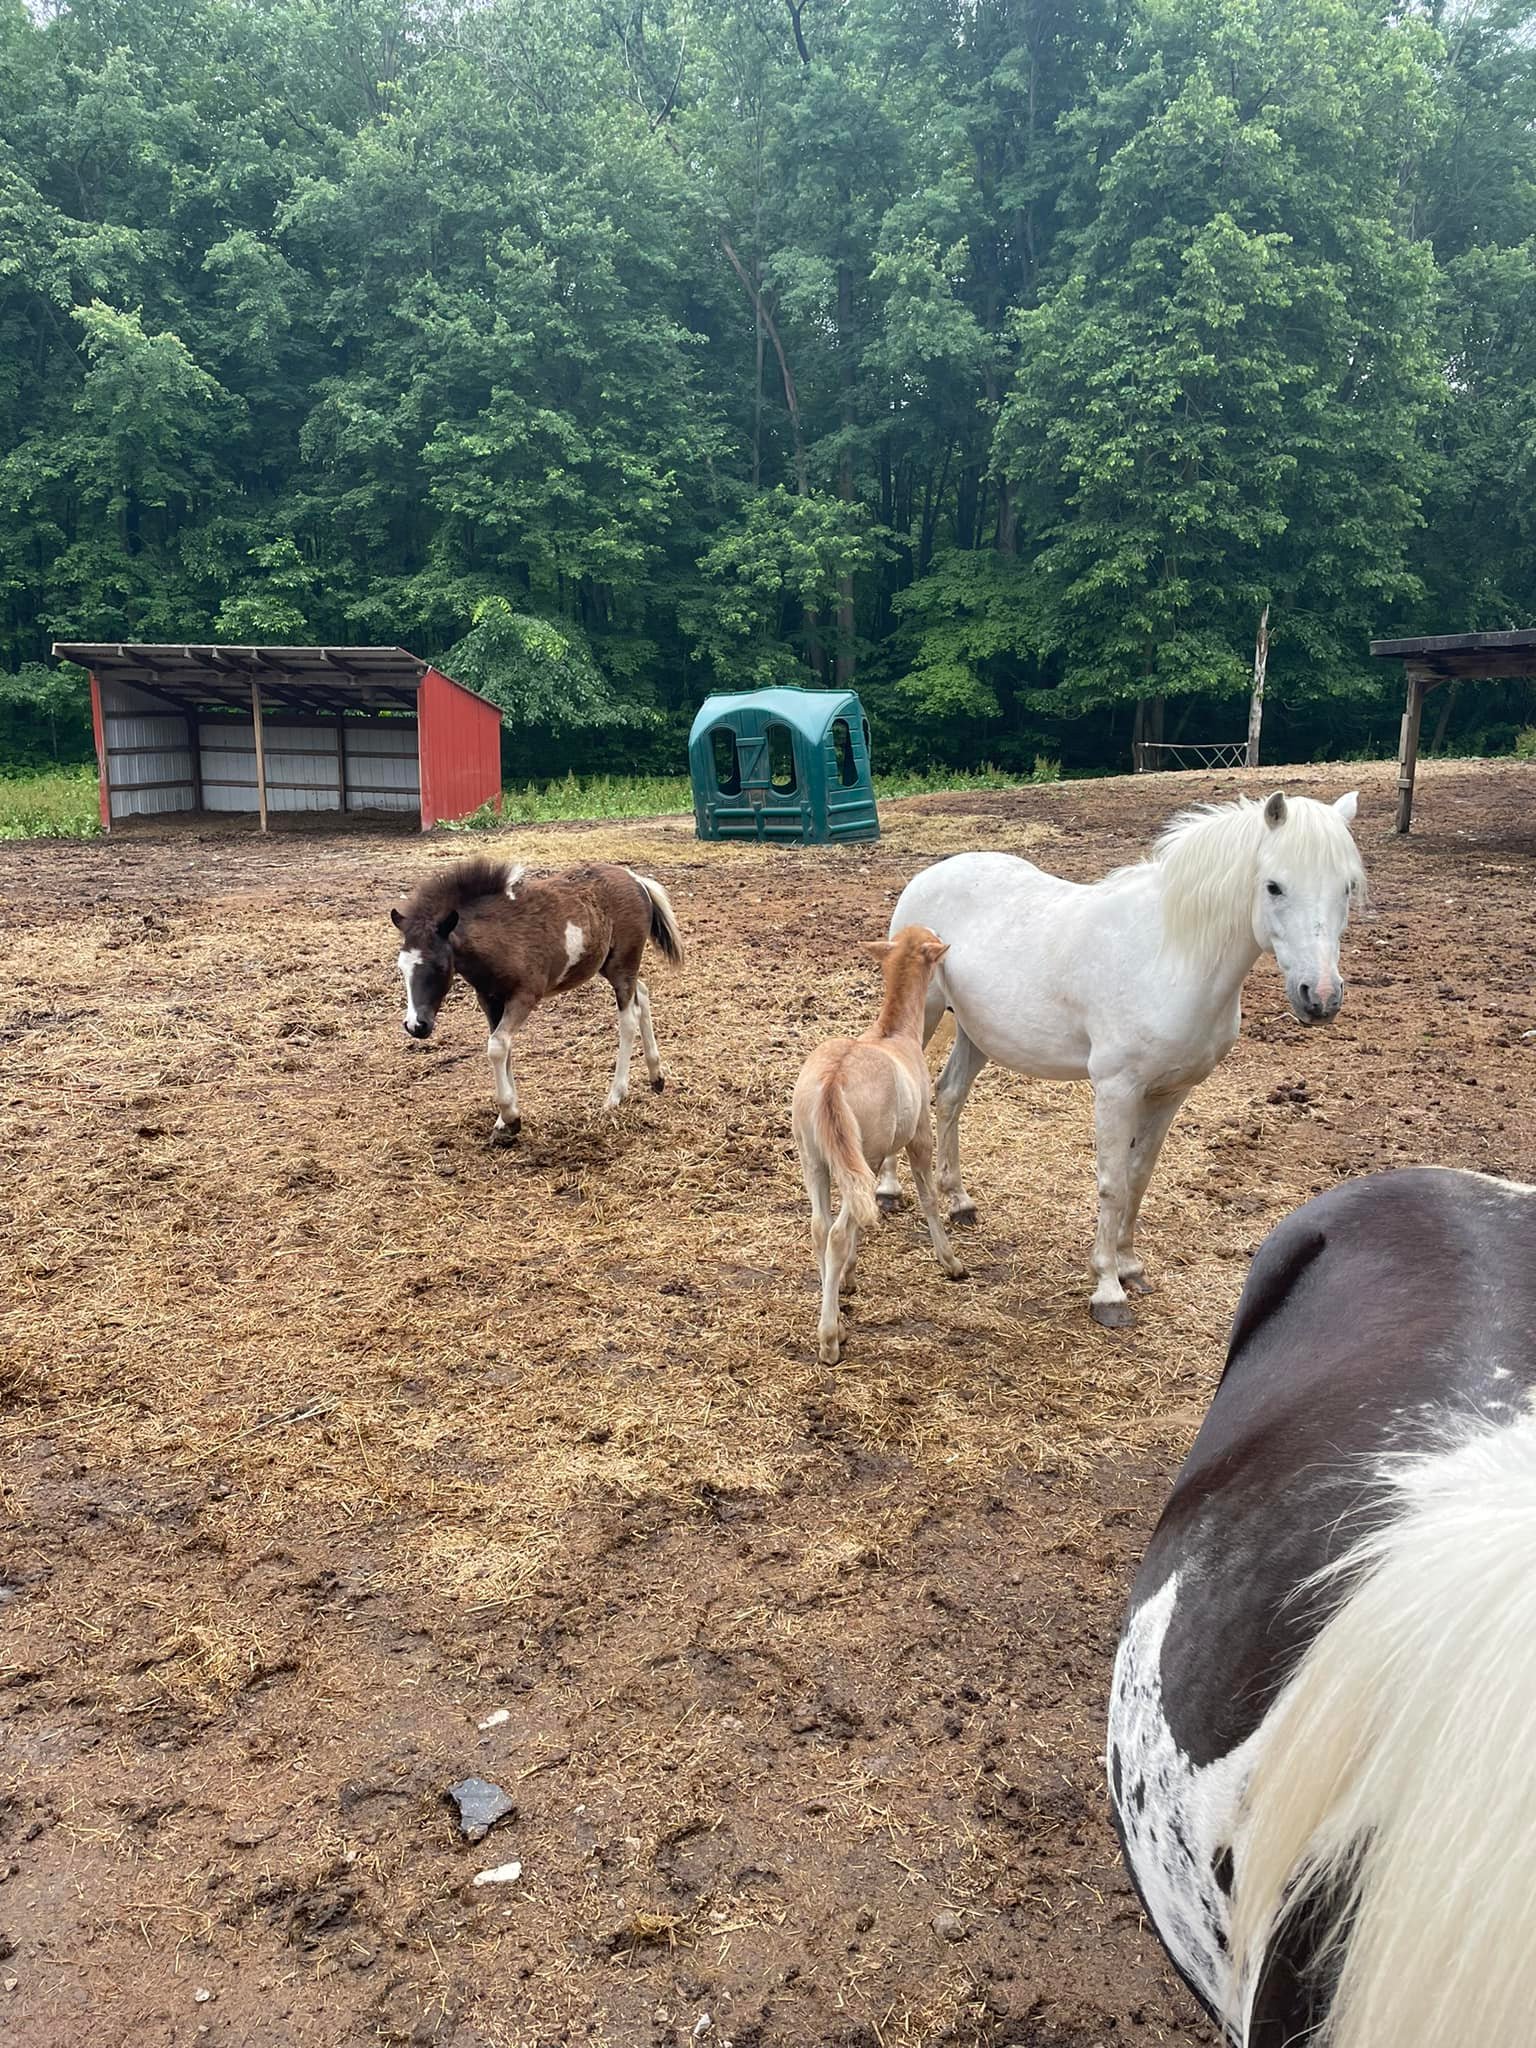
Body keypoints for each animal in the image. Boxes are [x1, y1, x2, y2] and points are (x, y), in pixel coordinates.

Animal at [391, 857, 683, 1137]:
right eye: (401, 967)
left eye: (440, 966)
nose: (416, 1025)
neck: (499, 937)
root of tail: (636, 879)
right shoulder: (490, 999)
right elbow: (503, 1048)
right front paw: (504, 1122)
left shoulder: (525, 996)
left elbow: (497, 1046)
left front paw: (510, 1116)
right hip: (609, 966)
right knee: (641, 993)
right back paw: (656, 1077)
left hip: (622, 963)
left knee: (628, 1019)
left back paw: (615, 1096)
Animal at [791, 926, 967, 1364]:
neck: (893, 1034)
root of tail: (833, 1083)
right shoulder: (918, 1137)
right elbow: (928, 1198)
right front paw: (951, 1261)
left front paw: (847, 1281)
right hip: (861, 1158)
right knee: (838, 1232)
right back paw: (830, 1339)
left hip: (815, 1159)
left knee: (820, 1228)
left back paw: (835, 1318)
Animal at [879, 790, 1365, 1324]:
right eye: (1274, 886)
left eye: (1346, 887)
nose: (1320, 997)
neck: (1169, 958)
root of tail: (931, 874)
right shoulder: (1116, 1089)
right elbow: (1112, 1182)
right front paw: (1107, 1289)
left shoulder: (1170, 1092)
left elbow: (1139, 1176)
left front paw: (1131, 1267)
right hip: (921, 1017)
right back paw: (888, 1192)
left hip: (976, 1033)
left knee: (949, 1096)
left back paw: (960, 1202)